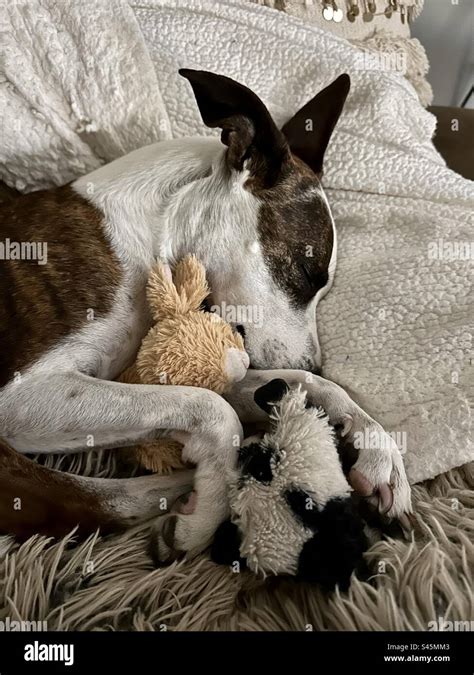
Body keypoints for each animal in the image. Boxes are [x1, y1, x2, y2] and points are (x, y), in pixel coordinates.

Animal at [0, 71, 412, 564]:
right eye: (307, 273)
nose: (315, 361)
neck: (152, 234)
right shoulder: (22, 395)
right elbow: (213, 409)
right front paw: (206, 511)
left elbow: (307, 385)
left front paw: (377, 448)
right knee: (67, 502)